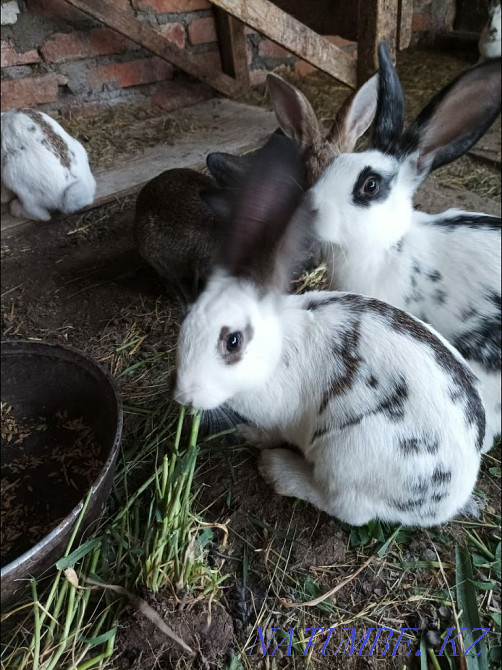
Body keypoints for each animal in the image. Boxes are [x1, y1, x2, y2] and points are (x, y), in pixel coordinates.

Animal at [174, 133, 484, 528]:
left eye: (233, 341)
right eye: (188, 320)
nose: (183, 396)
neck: (277, 353)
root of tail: (450, 500)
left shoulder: (281, 416)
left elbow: (274, 431)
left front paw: (254, 438)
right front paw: (246, 432)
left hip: (346, 455)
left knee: (345, 507)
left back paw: (278, 470)